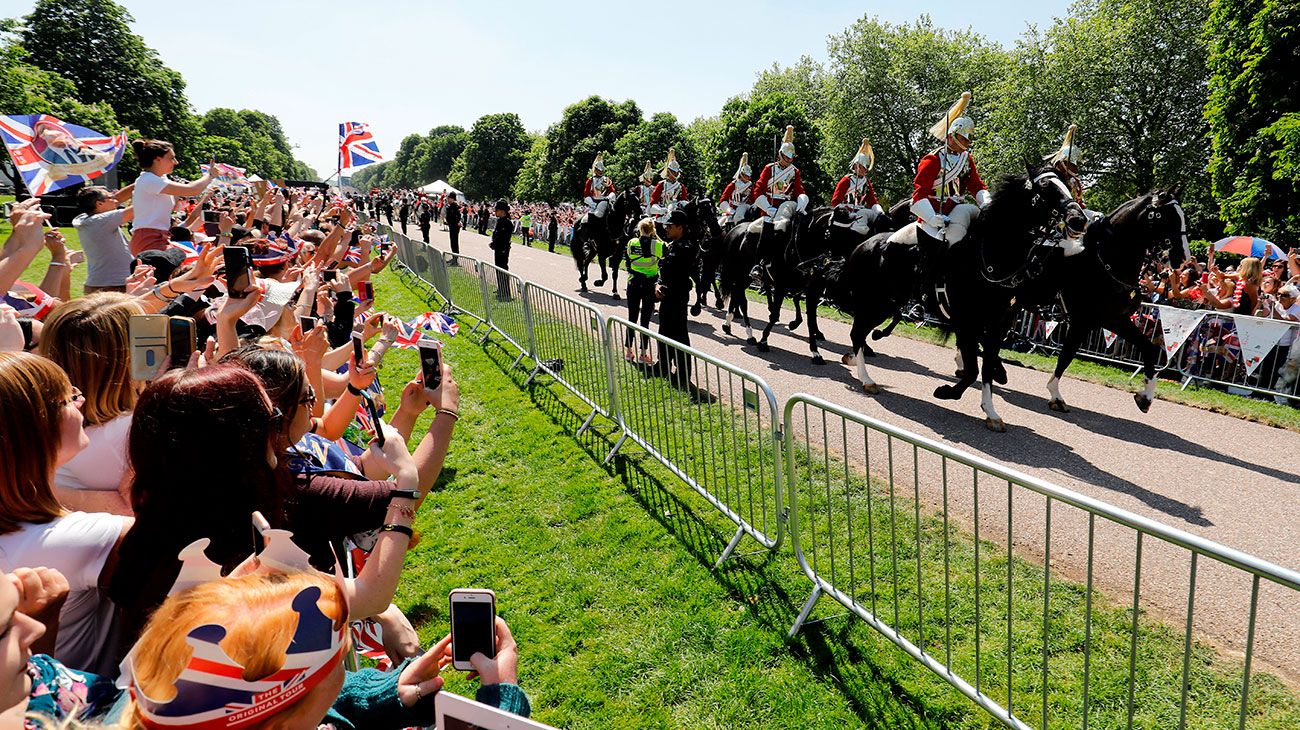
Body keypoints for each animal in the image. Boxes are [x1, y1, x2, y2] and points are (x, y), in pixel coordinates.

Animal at [1040, 187, 1190, 415]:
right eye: (1168, 218)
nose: (1184, 258)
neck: (1105, 261)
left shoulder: (1115, 320)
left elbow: (1149, 349)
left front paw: (1145, 397)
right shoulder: (1082, 321)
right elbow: (1067, 354)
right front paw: (1055, 395)